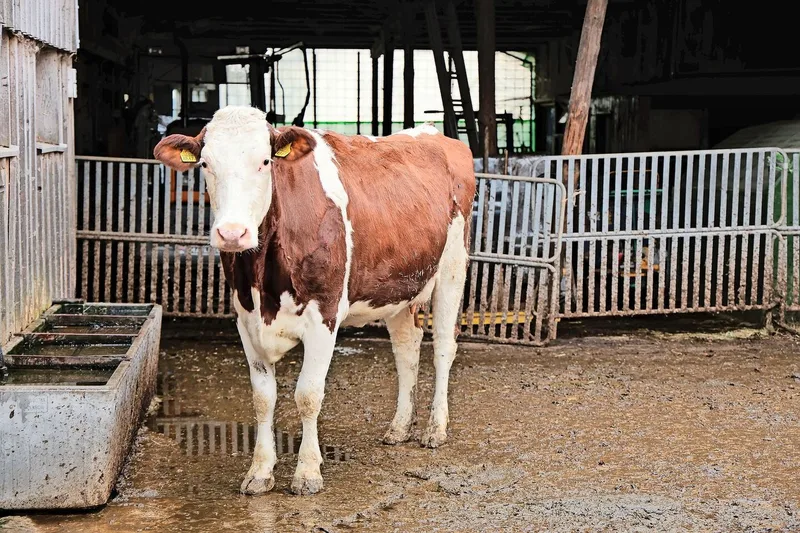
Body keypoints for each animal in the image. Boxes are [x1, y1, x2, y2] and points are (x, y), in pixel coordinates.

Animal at [153, 105, 475, 496]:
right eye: (205, 164)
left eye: (265, 162)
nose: (232, 233)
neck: (265, 280)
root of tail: (435, 135)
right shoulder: (245, 319)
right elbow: (263, 398)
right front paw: (260, 471)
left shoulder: (325, 315)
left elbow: (308, 395)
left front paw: (307, 472)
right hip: (399, 285)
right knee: (406, 348)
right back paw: (399, 427)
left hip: (452, 266)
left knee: (443, 346)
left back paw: (435, 429)